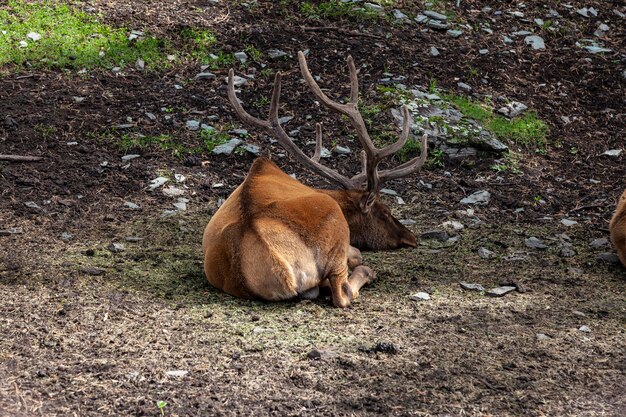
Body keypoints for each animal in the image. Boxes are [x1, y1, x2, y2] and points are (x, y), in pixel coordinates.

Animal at [202, 51, 426, 306]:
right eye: (386, 212)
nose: (411, 237)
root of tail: (281, 270)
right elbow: (357, 255)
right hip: (333, 232)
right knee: (342, 291)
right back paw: (366, 273)